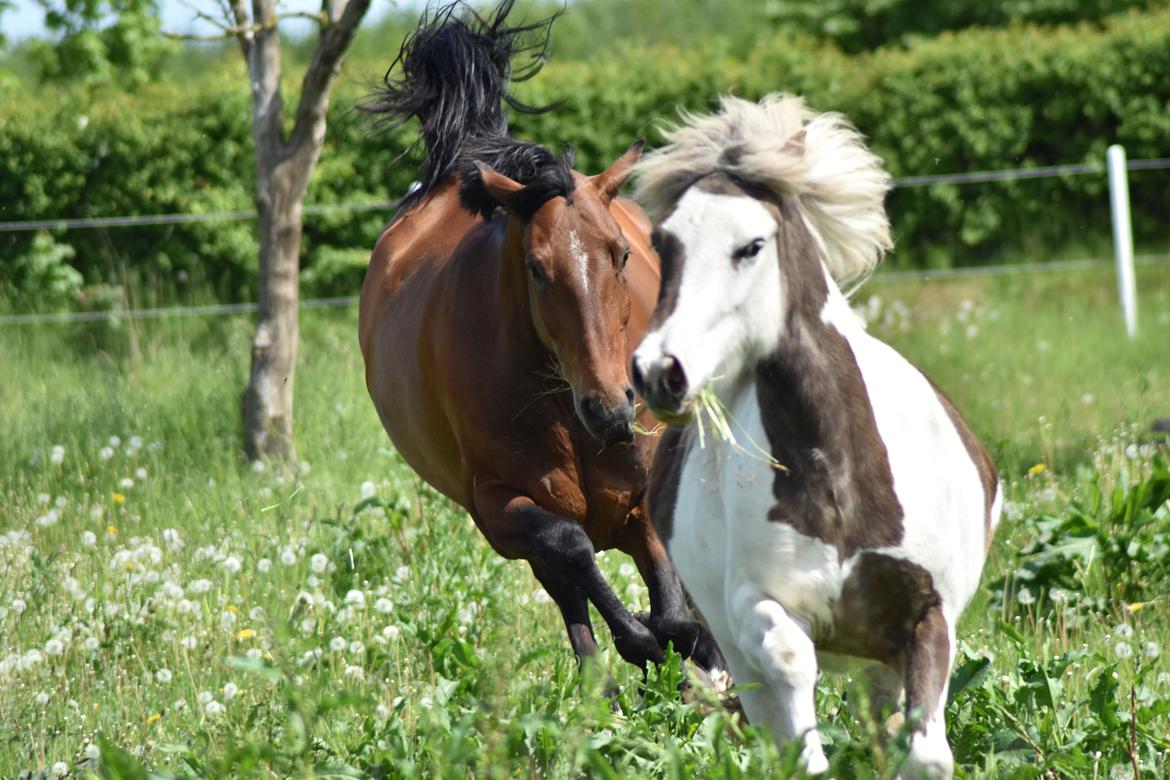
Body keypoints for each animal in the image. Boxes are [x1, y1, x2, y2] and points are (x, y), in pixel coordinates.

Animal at [360, 0, 716, 673]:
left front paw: (691, 653)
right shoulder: (498, 509)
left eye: (621, 254)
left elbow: (678, 609)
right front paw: (642, 643)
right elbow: (570, 548)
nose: (610, 408)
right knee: (570, 590)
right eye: (535, 267)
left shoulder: (649, 494)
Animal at [627, 94, 1001, 776]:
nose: (658, 371)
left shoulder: (926, 614)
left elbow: (925, 753)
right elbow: (788, 662)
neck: (839, 479)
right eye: (664, 243)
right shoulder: (753, 608)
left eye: (751, 245)